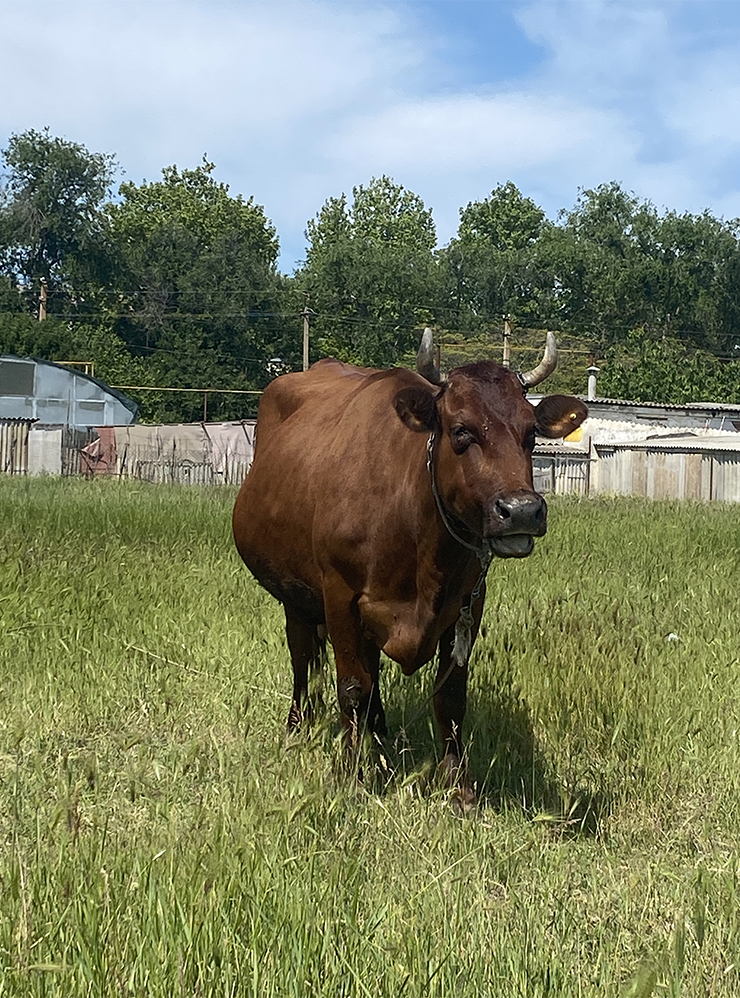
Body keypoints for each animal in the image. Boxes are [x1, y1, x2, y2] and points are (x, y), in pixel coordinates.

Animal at [234, 330, 588, 804]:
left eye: (531, 432)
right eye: (461, 430)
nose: (522, 510)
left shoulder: (467, 604)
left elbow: (450, 696)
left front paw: (459, 787)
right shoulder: (339, 595)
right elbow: (351, 688)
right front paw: (351, 775)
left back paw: (381, 735)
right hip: (296, 597)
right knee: (303, 657)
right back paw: (299, 726)